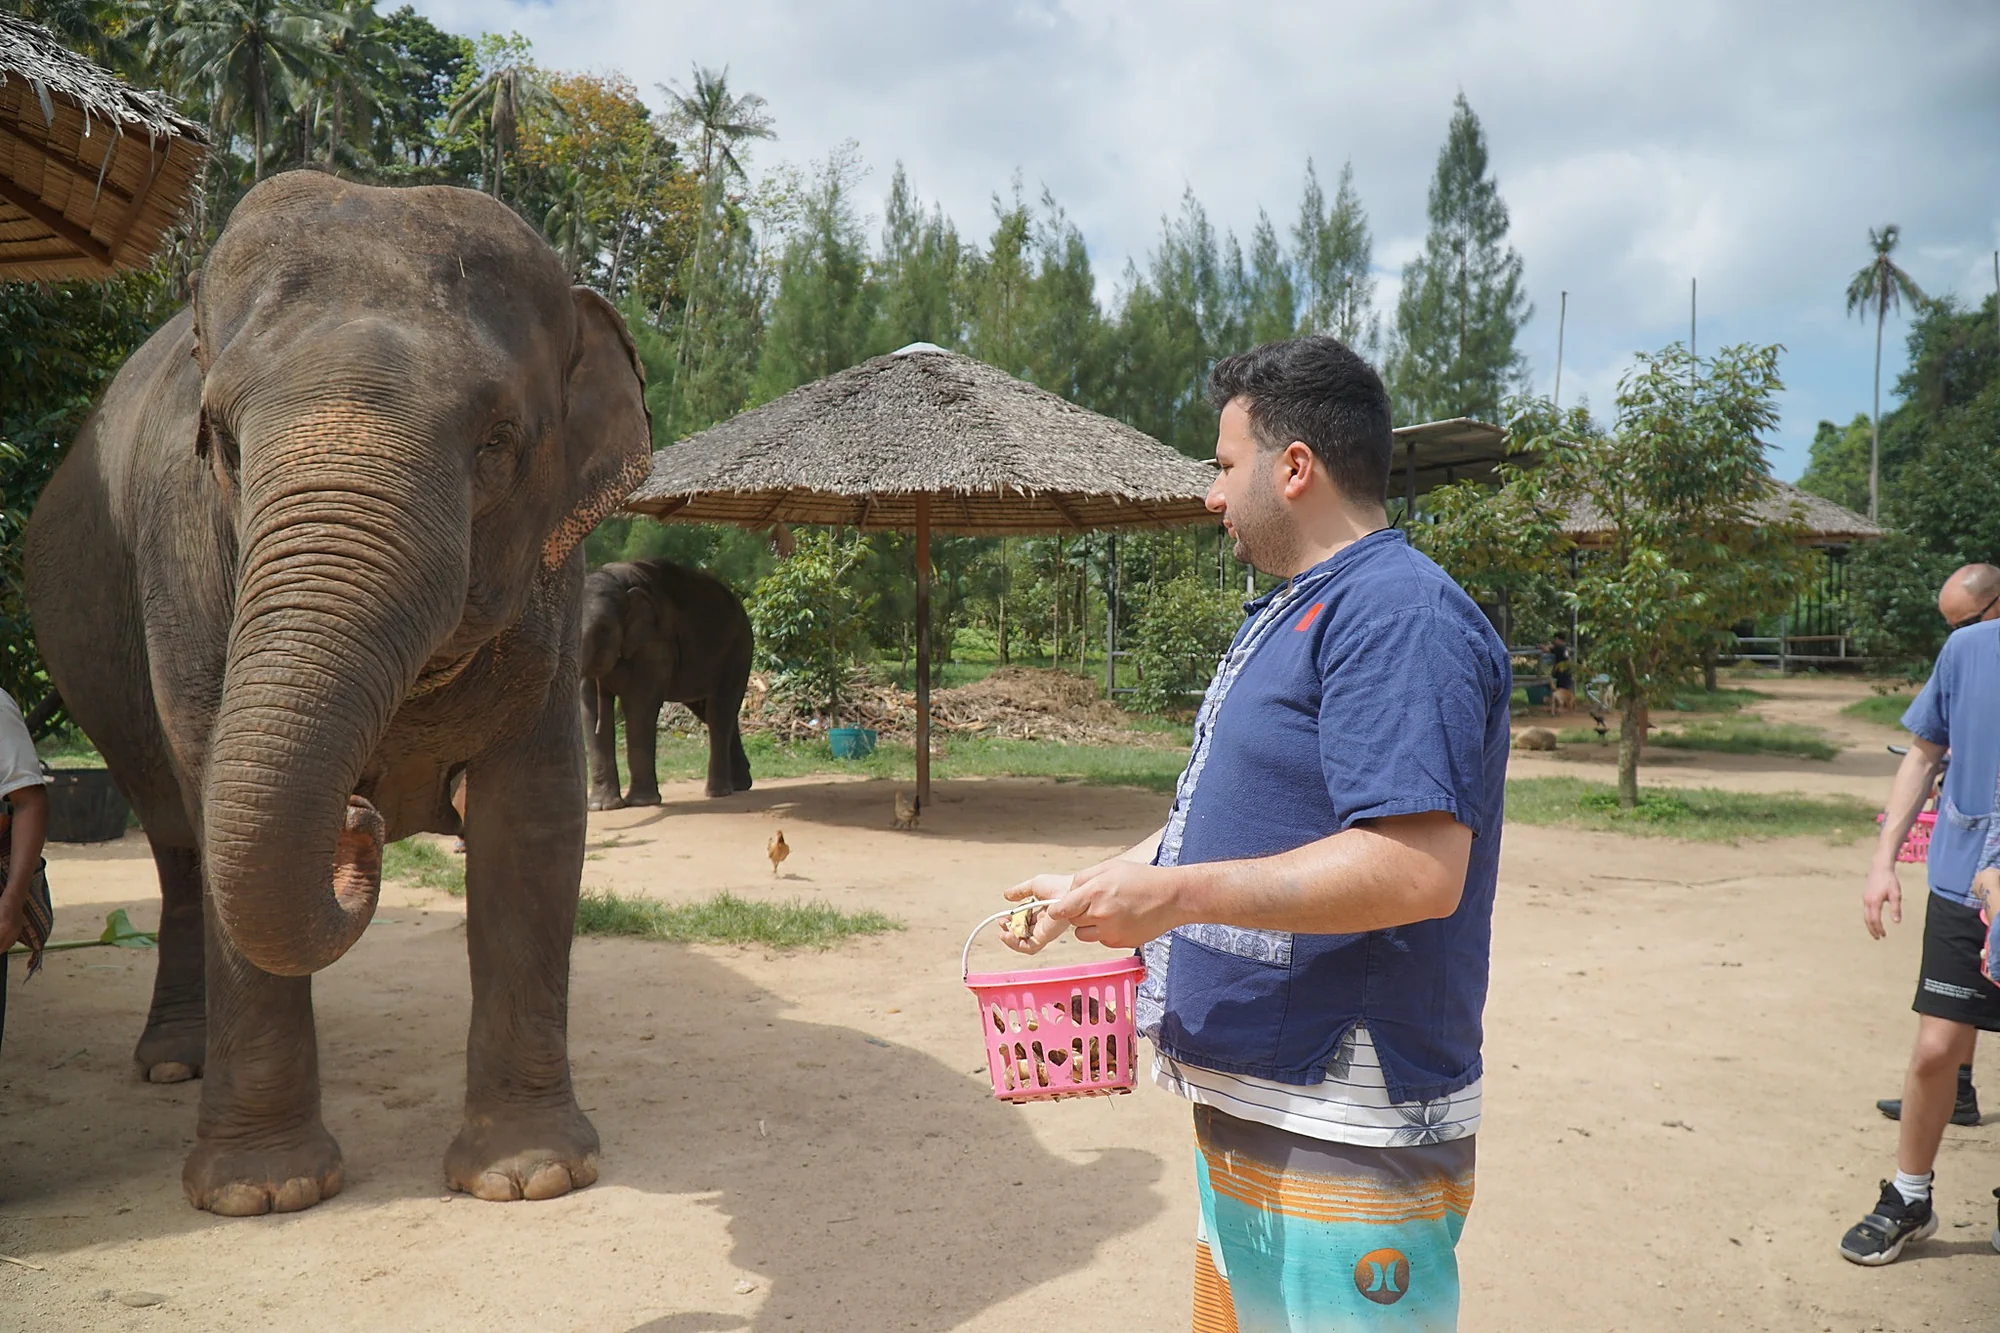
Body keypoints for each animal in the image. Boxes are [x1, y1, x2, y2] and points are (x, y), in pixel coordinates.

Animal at [21, 171, 651, 1216]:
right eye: (223, 441)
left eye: (499, 441)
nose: (359, 818)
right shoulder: (185, 573)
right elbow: (218, 787)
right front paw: (261, 1193)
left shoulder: (557, 580)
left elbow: (533, 817)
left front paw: (531, 1175)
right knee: (180, 842)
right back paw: (175, 1062)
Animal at [579, 559, 754, 807]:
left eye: (603, 629)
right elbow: (589, 709)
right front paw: (602, 806)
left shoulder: (655, 642)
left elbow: (639, 705)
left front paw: (641, 803)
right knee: (710, 711)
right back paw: (740, 785)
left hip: (738, 651)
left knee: (719, 711)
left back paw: (718, 792)